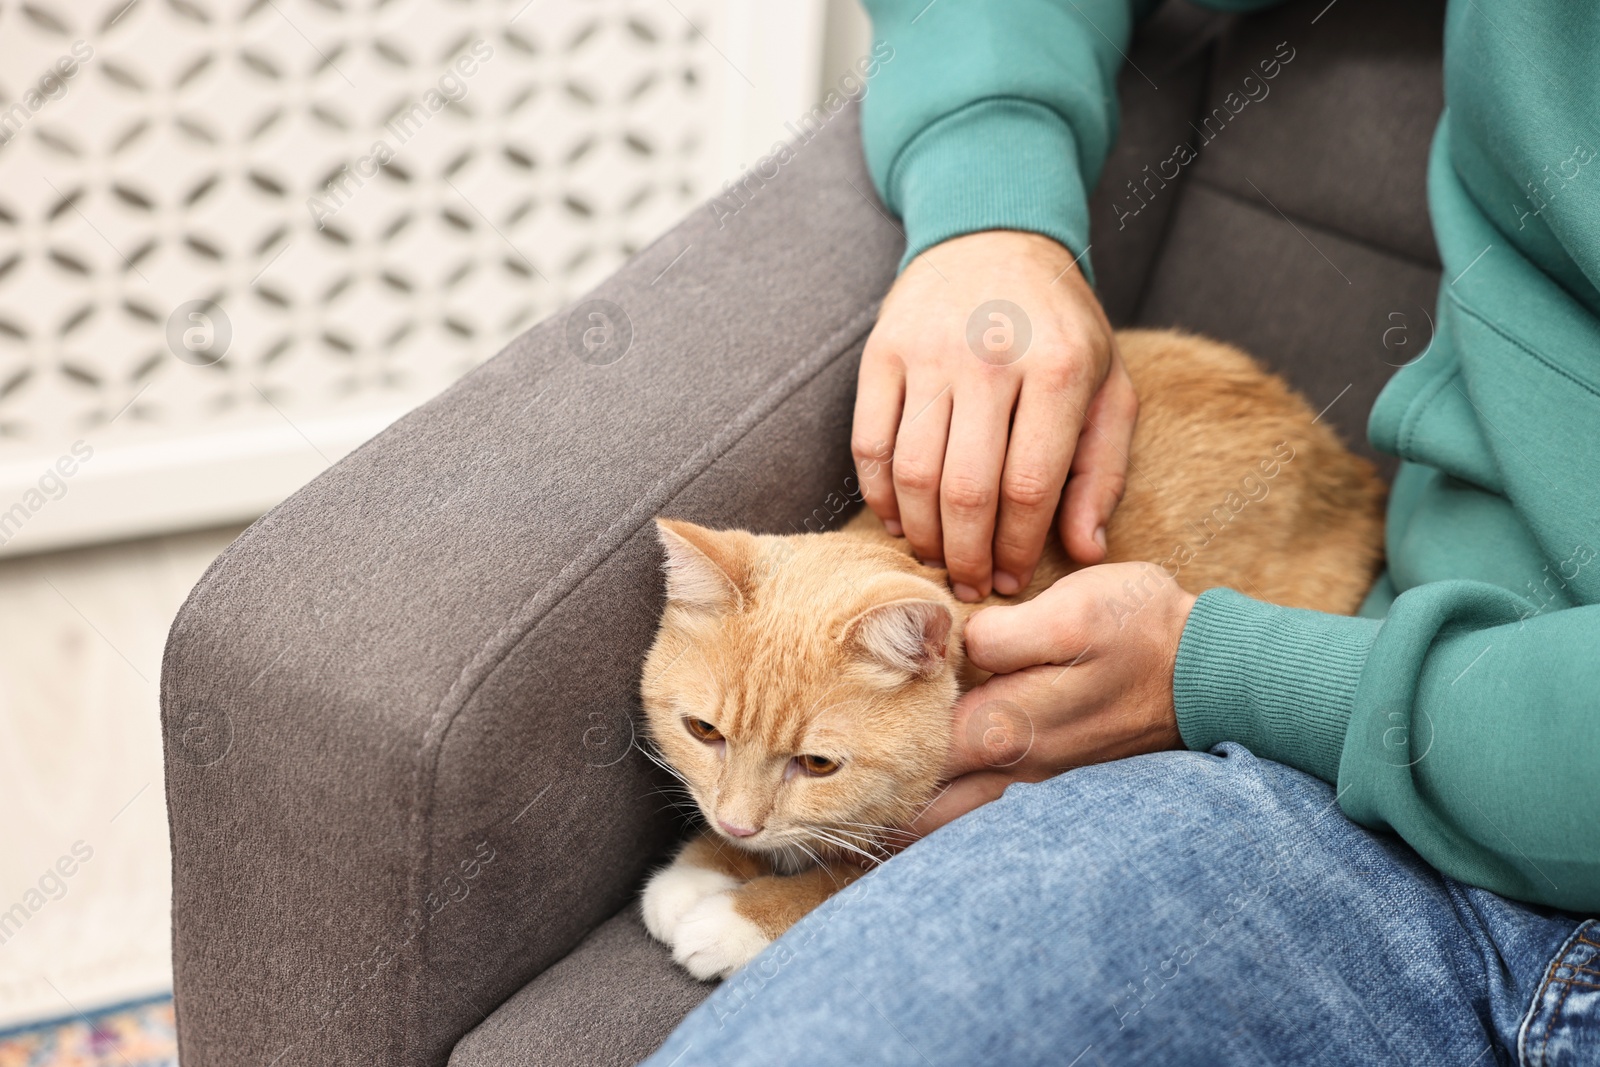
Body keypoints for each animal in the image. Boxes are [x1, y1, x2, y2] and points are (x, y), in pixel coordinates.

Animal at [630, 329, 1382, 979]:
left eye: (817, 765)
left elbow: (849, 869)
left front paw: (741, 916)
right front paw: (706, 865)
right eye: (703, 730)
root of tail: (1346, 464)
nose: (735, 824)